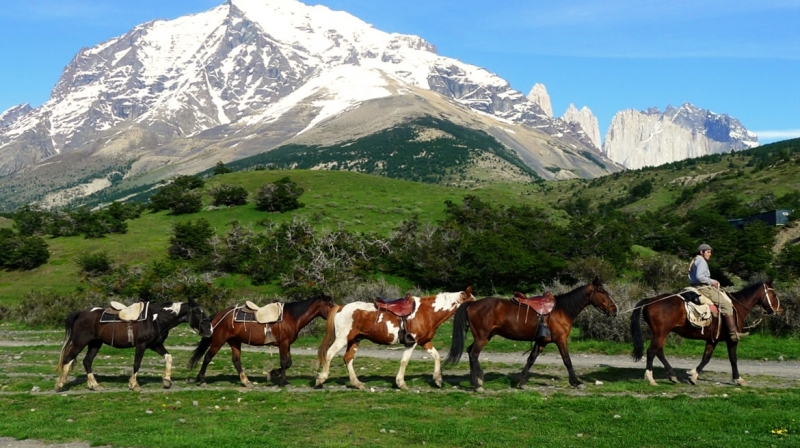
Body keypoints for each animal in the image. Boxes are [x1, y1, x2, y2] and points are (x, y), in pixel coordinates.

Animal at [56, 300, 212, 390]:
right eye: (198, 312)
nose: (209, 329)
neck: (155, 319)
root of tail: (81, 313)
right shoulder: (141, 345)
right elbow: (137, 364)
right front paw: (134, 384)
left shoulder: (156, 345)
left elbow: (169, 357)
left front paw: (167, 380)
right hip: (80, 342)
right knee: (68, 359)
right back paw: (60, 384)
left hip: (95, 344)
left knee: (87, 361)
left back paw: (94, 385)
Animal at [189, 294, 336, 384]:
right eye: (330, 304)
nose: (336, 312)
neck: (292, 317)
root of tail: (218, 315)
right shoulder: (283, 344)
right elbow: (284, 362)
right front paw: (282, 381)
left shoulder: (287, 344)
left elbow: (288, 363)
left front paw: (273, 373)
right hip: (218, 342)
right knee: (208, 357)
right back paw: (201, 379)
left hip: (235, 342)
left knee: (236, 361)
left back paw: (245, 381)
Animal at [314, 288, 476, 390]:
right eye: (471, 302)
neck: (427, 312)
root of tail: (341, 308)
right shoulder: (412, 343)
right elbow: (404, 361)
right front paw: (401, 383)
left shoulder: (424, 342)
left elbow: (436, 356)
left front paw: (438, 380)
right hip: (342, 339)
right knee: (329, 354)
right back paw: (321, 379)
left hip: (355, 340)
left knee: (348, 359)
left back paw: (357, 383)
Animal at [446, 278, 616, 390]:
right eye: (602, 292)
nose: (614, 309)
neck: (562, 310)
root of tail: (472, 304)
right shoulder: (560, 340)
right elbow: (567, 360)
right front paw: (576, 382)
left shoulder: (542, 342)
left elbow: (531, 359)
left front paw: (521, 382)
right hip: (482, 337)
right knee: (474, 354)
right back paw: (477, 384)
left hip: (485, 336)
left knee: (470, 352)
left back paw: (475, 380)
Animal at [632, 280, 780, 384]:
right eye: (774, 294)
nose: (780, 310)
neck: (737, 307)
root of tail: (650, 300)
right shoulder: (731, 340)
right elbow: (733, 359)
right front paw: (738, 379)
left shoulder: (712, 339)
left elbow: (706, 358)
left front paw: (693, 375)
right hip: (661, 333)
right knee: (651, 351)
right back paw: (650, 378)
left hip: (661, 334)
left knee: (659, 352)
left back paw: (672, 375)